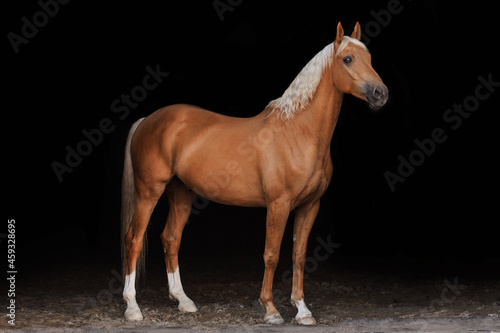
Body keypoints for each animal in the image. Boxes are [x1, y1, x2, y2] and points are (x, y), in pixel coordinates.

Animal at [120, 22, 386, 326]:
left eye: (369, 58)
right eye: (347, 59)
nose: (380, 93)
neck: (297, 132)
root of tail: (148, 120)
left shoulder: (309, 206)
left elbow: (298, 255)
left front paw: (302, 310)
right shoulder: (278, 205)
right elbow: (271, 254)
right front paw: (270, 309)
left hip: (181, 194)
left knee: (171, 239)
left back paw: (184, 301)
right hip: (149, 192)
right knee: (134, 240)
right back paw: (132, 307)